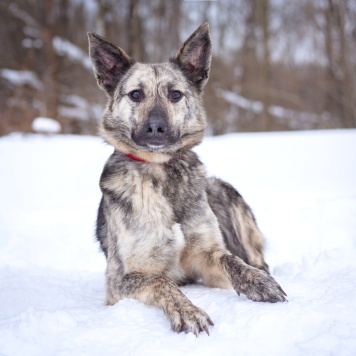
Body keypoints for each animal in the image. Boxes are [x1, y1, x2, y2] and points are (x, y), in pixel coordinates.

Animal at [89, 23, 286, 336]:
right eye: (136, 95)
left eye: (175, 95)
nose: (155, 128)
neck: (161, 171)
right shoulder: (121, 280)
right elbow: (162, 281)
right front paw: (187, 310)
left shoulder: (206, 256)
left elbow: (228, 258)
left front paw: (257, 282)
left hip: (222, 190)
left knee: (255, 257)